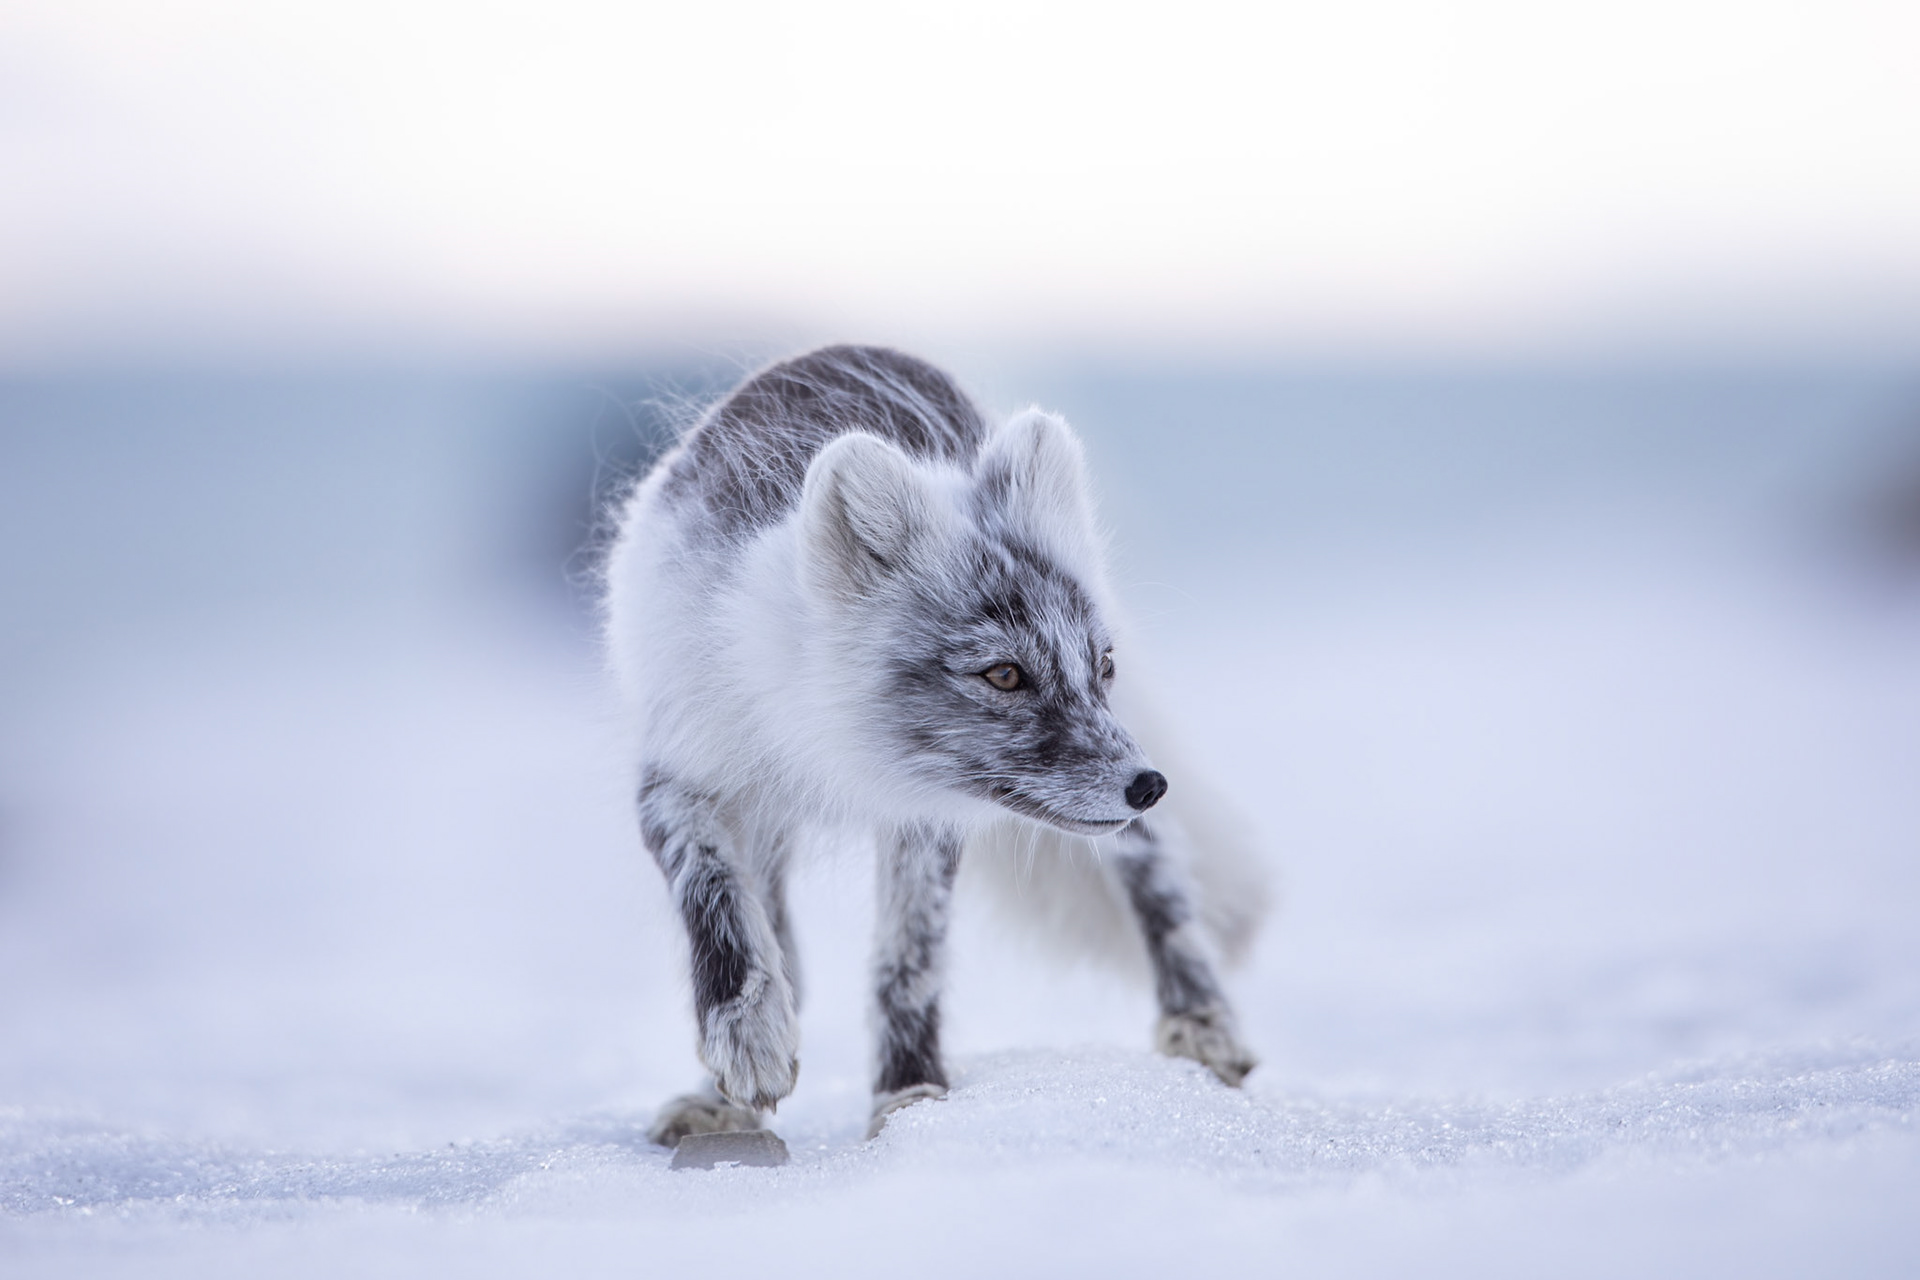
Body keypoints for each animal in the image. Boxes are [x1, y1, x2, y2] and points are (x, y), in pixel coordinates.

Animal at [601, 345, 1268, 1143]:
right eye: (1004, 673)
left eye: (1101, 665)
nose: (1149, 786)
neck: (821, 747)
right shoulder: (681, 774)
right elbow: (720, 902)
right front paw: (746, 1043)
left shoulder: (926, 815)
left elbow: (908, 963)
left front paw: (910, 1099)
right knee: (782, 941)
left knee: (1157, 871)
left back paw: (1202, 1023)